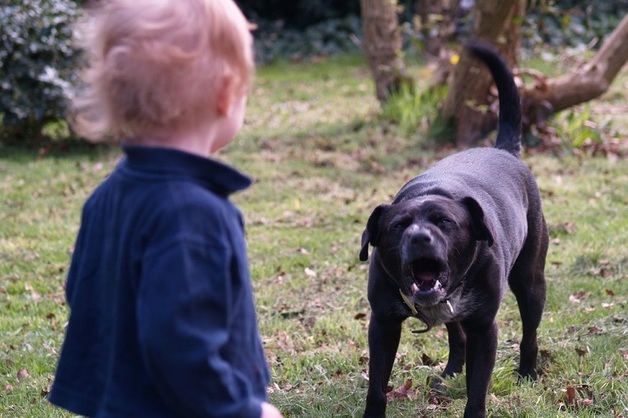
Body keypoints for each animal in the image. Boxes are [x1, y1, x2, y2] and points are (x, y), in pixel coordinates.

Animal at [360, 42, 548, 418]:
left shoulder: (484, 328)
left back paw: (527, 372)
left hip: (531, 281)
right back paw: (449, 373)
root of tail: (504, 150)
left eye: (444, 221)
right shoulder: (383, 324)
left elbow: (478, 389)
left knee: (529, 333)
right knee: (455, 336)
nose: (420, 237)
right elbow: (376, 385)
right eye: (398, 226)